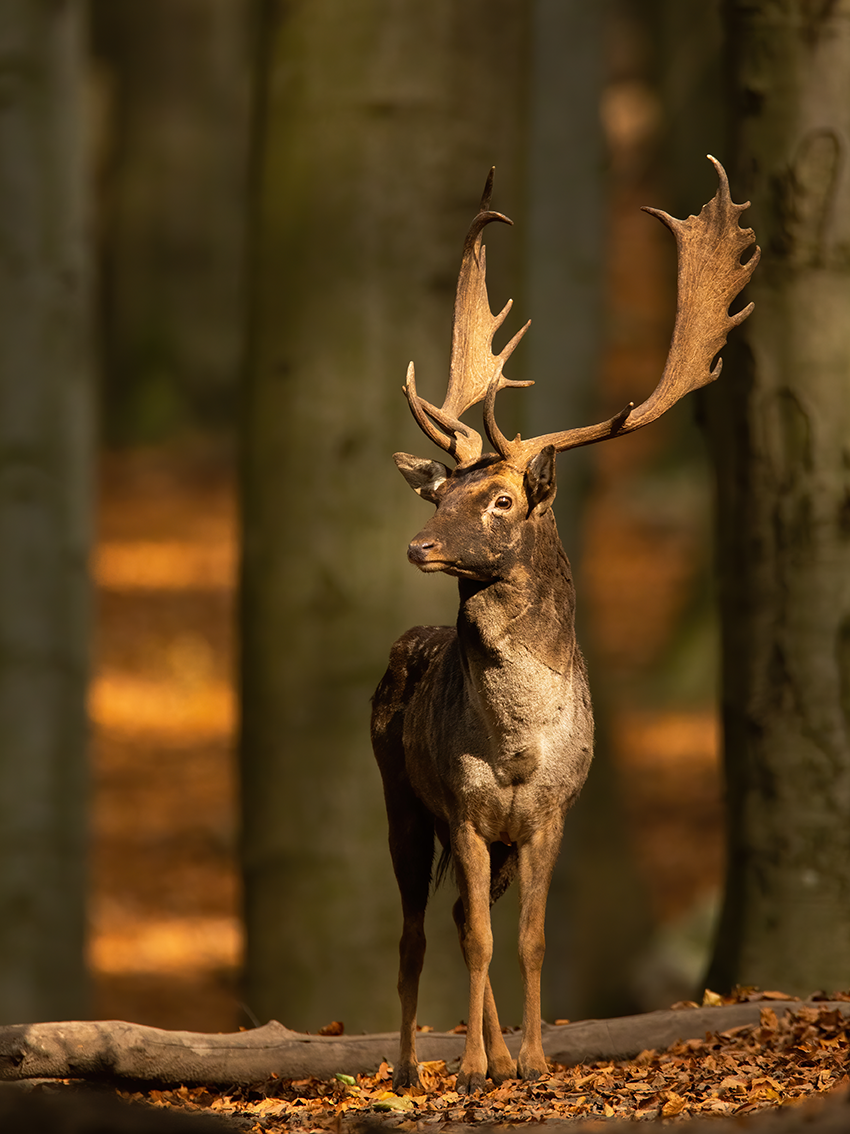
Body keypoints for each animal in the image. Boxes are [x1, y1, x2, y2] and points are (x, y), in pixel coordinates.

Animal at [371, 155, 757, 1093]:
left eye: (502, 500)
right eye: (441, 492)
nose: (420, 544)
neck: (514, 743)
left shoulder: (550, 812)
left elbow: (532, 938)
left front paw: (536, 1061)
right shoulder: (465, 807)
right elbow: (476, 938)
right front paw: (474, 1068)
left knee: (465, 919)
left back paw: (501, 1055)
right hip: (400, 795)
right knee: (417, 930)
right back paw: (411, 1068)